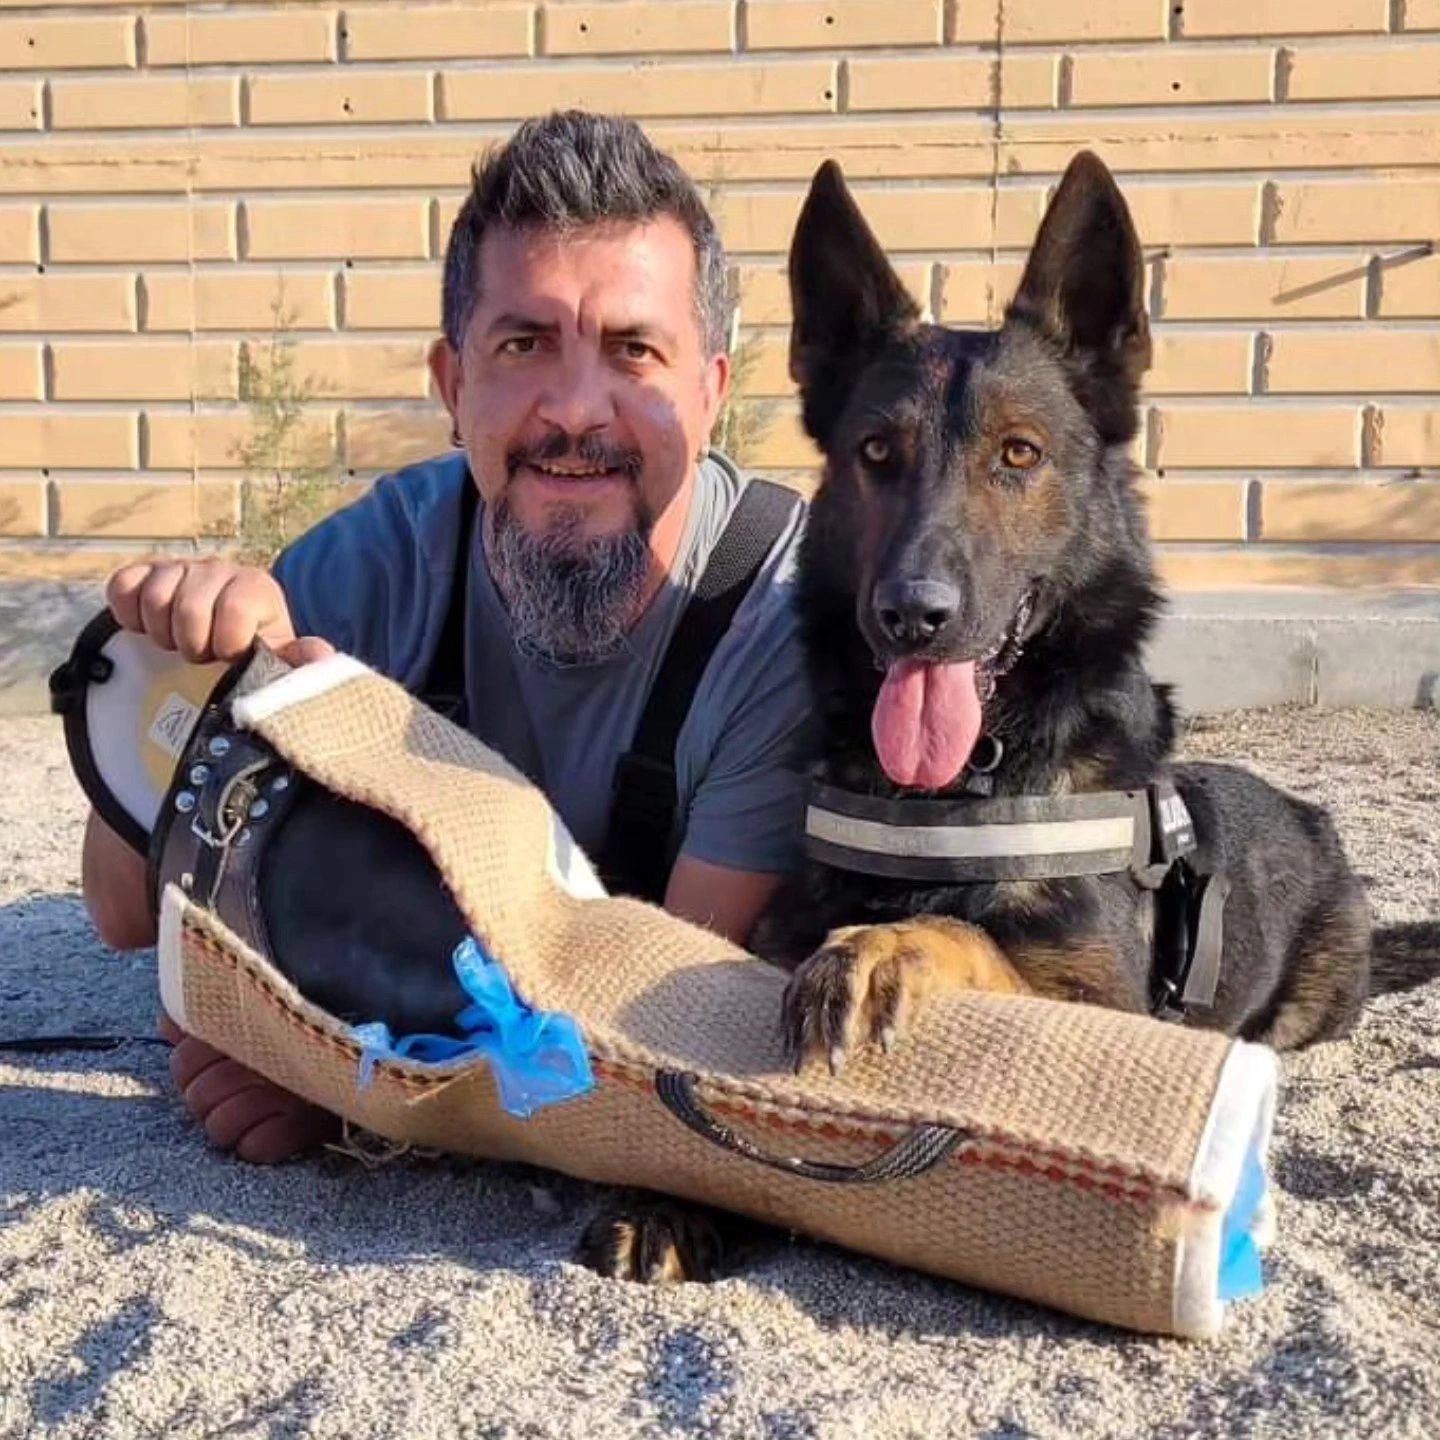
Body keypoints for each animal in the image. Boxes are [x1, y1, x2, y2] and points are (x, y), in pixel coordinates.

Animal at [757, 151, 1378, 1070]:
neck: (953, 795)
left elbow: (964, 933)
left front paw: (883, 945)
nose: (912, 615)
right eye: (875, 452)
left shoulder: (1108, 1004)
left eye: (1020, 453)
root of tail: (1311, 817)